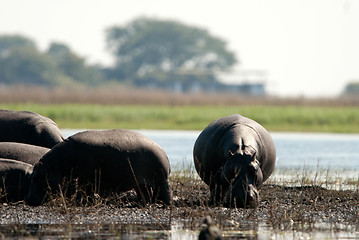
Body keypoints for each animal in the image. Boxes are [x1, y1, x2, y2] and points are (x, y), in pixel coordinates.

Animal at [25, 129, 172, 206]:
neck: (56, 164)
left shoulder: (84, 180)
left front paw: (82, 202)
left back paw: (165, 204)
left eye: (36, 178)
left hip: (161, 179)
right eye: (31, 177)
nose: (28, 200)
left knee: (164, 193)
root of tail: (162, 150)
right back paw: (140, 204)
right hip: (141, 183)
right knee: (145, 195)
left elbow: (83, 193)